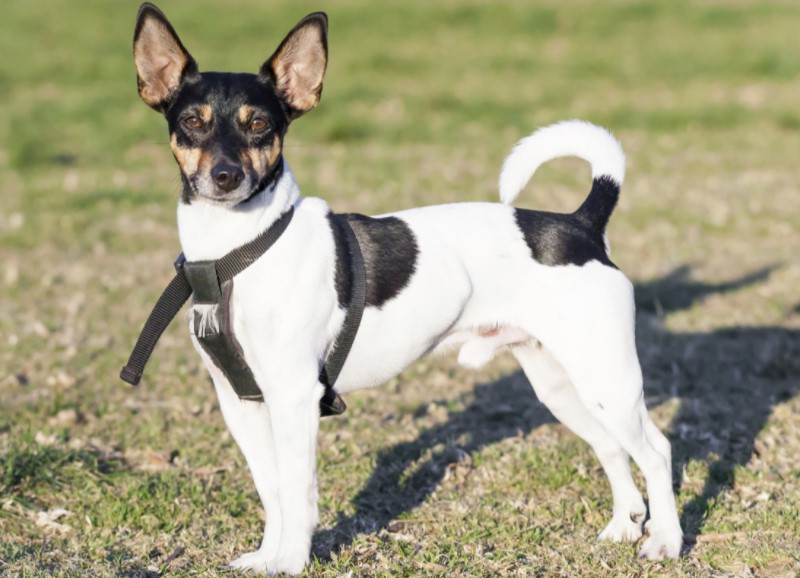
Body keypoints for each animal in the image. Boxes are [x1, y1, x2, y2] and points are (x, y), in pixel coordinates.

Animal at [130, 4, 680, 572]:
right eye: (191, 122)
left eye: (259, 124)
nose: (225, 176)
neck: (236, 250)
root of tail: (581, 224)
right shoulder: (241, 402)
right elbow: (272, 490)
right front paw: (266, 557)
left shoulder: (294, 396)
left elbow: (298, 492)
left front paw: (292, 562)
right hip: (563, 385)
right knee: (612, 448)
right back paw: (624, 526)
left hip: (607, 380)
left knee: (656, 452)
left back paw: (666, 541)